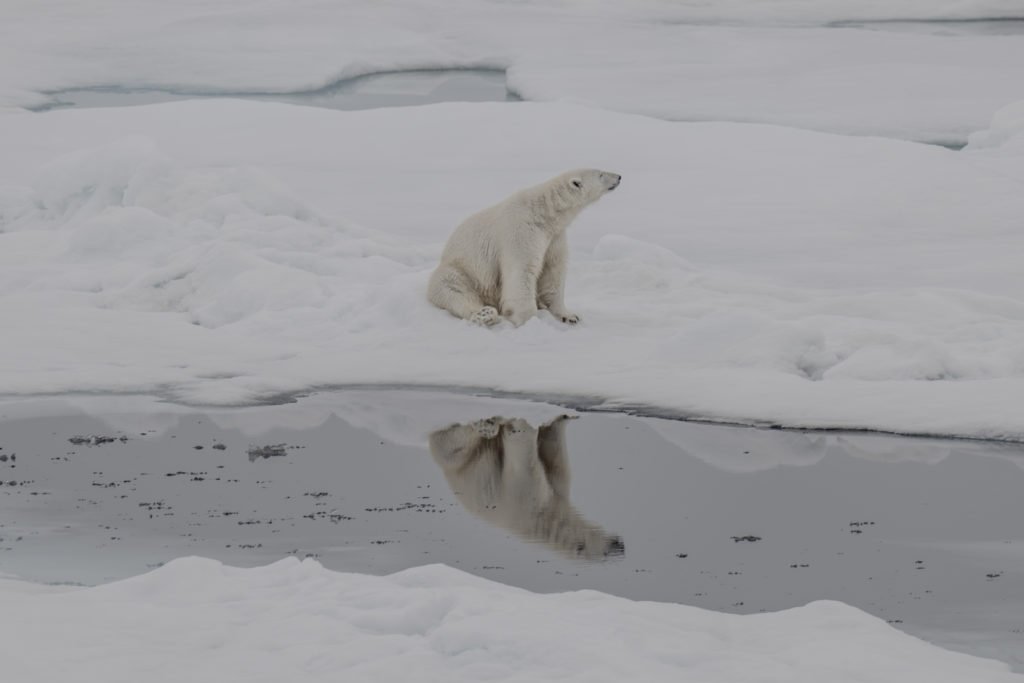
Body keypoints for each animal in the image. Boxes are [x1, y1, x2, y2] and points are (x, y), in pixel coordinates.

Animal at [428, 169, 621, 327]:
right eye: (600, 174)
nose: (619, 176)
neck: (544, 213)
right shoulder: (521, 231)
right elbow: (522, 271)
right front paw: (529, 320)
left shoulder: (554, 237)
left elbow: (553, 271)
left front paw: (569, 316)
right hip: (461, 271)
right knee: (454, 290)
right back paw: (485, 314)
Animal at [428, 414, 625, 561]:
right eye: (605, 554)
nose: (619, 546)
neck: (545, 515)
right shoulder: (525, 490)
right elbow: (522, 441)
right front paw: (519, 425)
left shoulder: (554, 483)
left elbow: (553, 451)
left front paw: (563, 417)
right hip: (459, 458)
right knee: (459, 438)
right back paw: (487, 426)